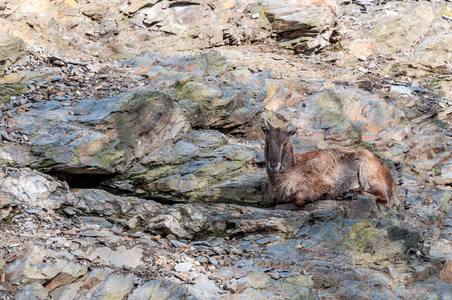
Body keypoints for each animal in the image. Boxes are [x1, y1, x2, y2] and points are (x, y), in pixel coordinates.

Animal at [264, 122, 398, 209]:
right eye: (268, 141)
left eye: (285, 143)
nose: (274, 164)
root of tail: (391, 181)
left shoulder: (319, 183)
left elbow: (297, 198)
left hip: (369, 173)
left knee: (382, 197)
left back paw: (350, 193)